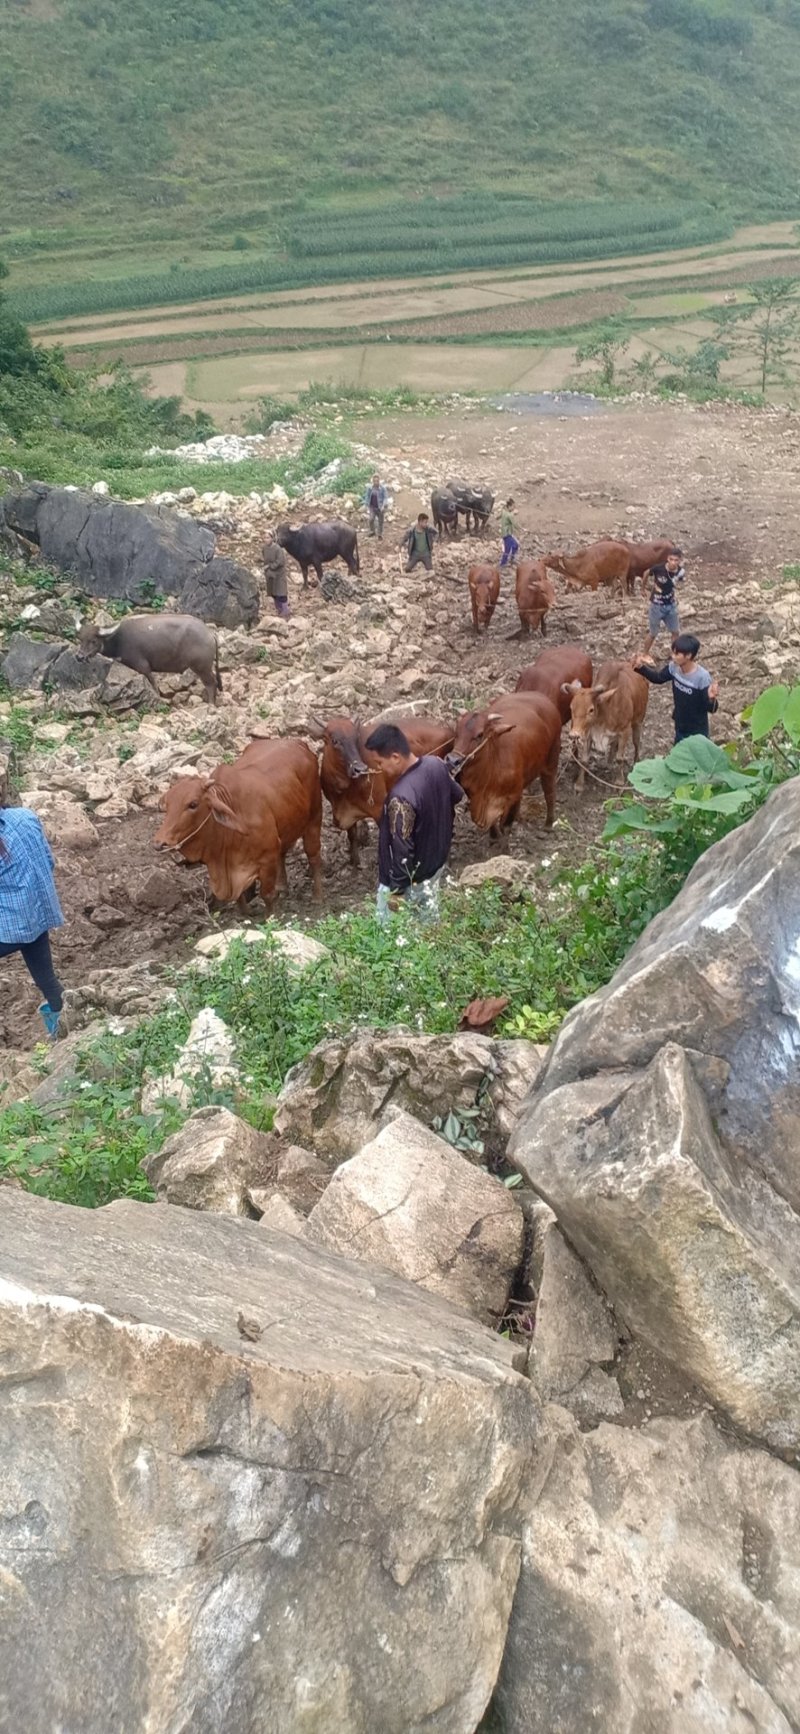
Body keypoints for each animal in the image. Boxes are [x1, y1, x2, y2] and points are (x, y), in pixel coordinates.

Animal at [76, 617, 219, 704]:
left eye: (93, 641)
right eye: (80, 639)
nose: (79, 657)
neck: (118, 639)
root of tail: (210, 634)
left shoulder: (143, 666)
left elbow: (153, 684)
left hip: (201, 667)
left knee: (211, 683)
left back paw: (211, 703)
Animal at [152, 735, 321, 908]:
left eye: (193, 804)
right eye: (167, 805)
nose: (159, 843)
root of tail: (298, 742)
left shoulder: (267, 859)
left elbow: (267, 895)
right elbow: (239, 899)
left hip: (314, 819)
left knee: (314, 856)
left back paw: (317, 896)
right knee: (283, 854)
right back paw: (283, 887)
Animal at [308, 707, 451, 863]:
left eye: (356, 739)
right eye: (335, 740)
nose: (360, 769)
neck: (344, 790)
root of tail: (447, 729)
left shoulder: (379, 809)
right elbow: (352, 836)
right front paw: (354, 862)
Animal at [442, 690, 562, 832]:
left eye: (480, 735)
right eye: (456, 732)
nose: (452, 760)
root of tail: (540, 695)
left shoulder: (511, 798)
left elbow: (505, 826)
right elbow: (493, 825)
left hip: (551, 761)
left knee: (550, 791)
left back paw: (548, 824)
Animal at [565, 655, 645, 794]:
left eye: (591, 709)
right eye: (571, 707)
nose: (574, 735)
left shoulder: (624, 731)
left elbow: (620, 758)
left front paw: (619, 782)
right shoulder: (588, 734)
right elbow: (584, 760)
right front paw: (579, 785)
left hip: (638, 722)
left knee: (636, 743)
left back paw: (636, 763)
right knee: (614, 745)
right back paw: (608, 762)